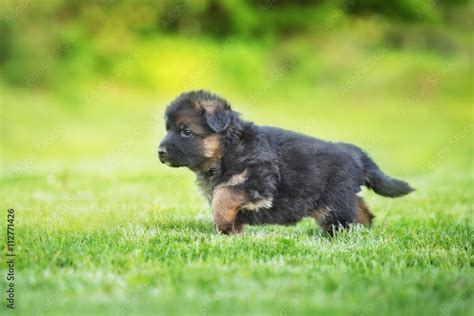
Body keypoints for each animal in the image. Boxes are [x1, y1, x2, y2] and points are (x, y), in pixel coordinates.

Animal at [157, 90, 412, 236]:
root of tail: (355, 152)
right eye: (168, 129)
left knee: (343, 220)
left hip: (332, 202)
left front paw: (223, 225)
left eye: (186, 131)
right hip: (343, 197)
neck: (228, 149)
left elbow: (223, 195)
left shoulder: (258, 181)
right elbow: (224, 201)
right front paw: (230, 233)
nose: (160, 152)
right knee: (361, 212)